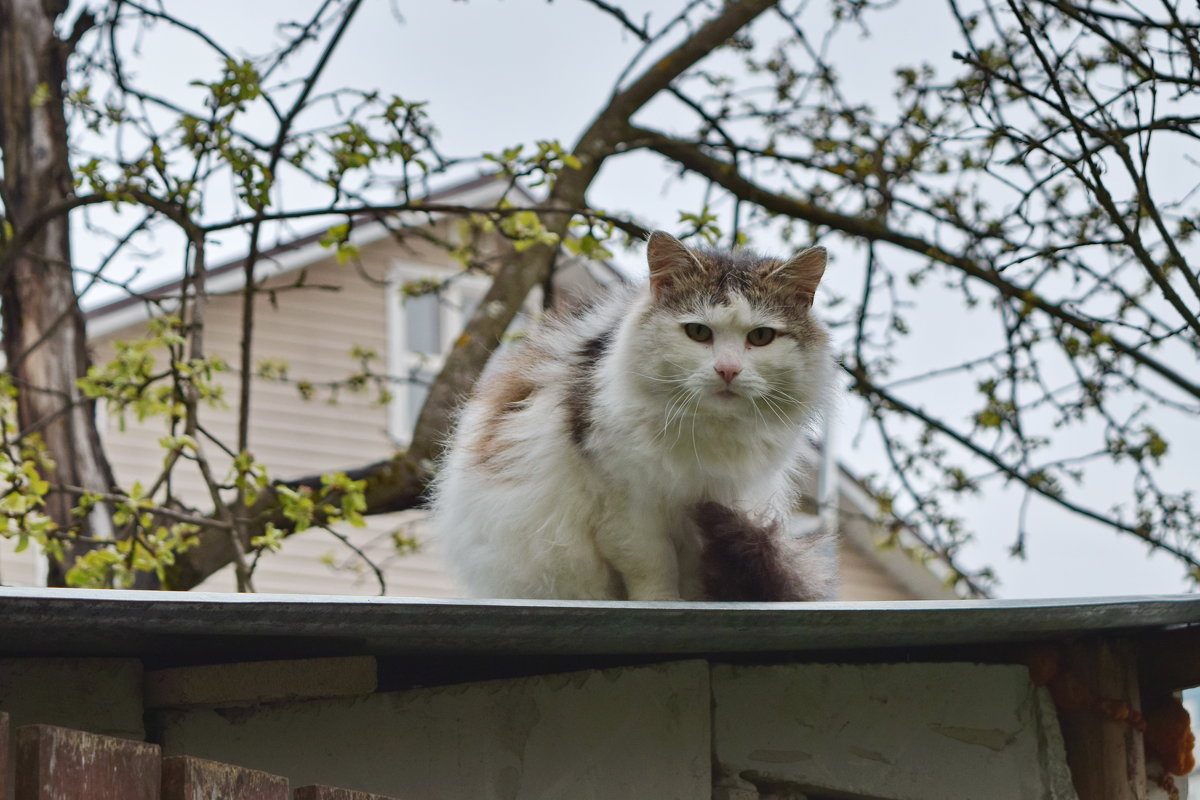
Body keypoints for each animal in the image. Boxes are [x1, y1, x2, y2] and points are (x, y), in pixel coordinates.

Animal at [429, 231, 835, 599]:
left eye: (761, 337)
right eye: (698, 332)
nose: (728, 370)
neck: (709, 433)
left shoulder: (715, 512)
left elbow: (699, 579)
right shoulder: (626, 509)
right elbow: (652, 570)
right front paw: (664, 603)